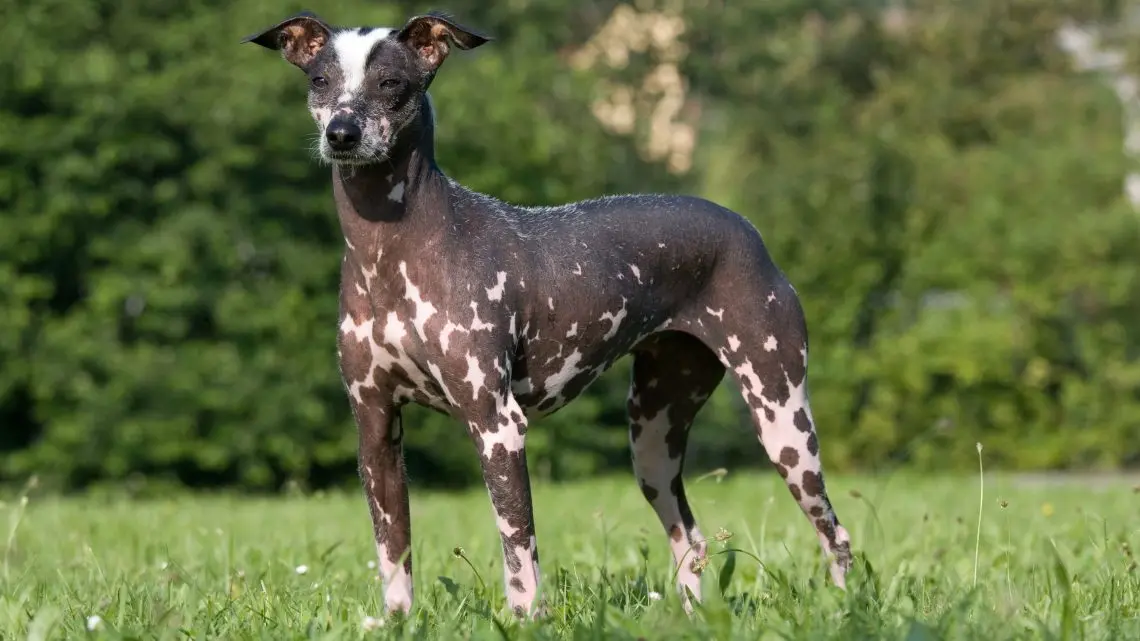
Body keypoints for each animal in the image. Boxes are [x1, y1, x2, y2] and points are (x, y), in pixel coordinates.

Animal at [245, 8, 852, 620]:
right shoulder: (374, 430)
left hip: (782, 419)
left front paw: (524, 621)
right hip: (653, 439)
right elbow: (393, 551)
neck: (391, 248)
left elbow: (519, 552)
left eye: (391, 83)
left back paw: (846, 605)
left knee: (835, 533)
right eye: (319, 81)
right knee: (692, 539)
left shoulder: (497, 427)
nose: (341, 133)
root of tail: (745, 228)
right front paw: (397, 623)